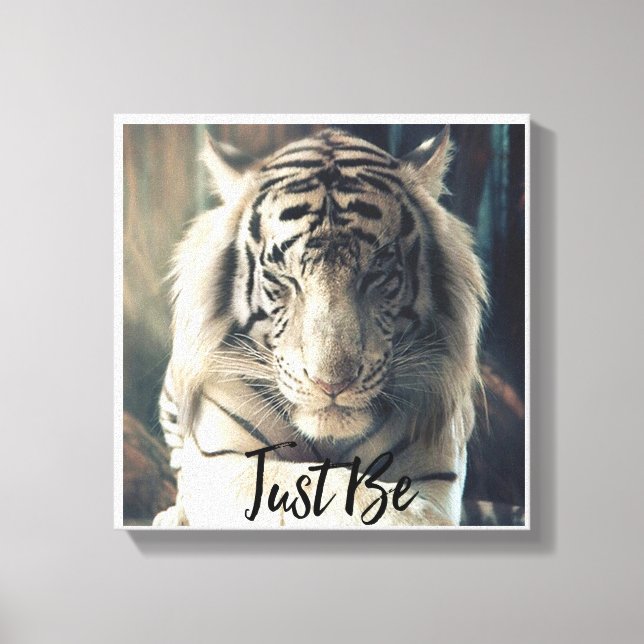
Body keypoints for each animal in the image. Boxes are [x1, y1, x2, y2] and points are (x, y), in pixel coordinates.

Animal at [152, 126, 487, 528]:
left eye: (376, 274)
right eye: (284, 277)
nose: (331, 384)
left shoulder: (437, 469)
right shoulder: (220, 463)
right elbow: (321, 483)